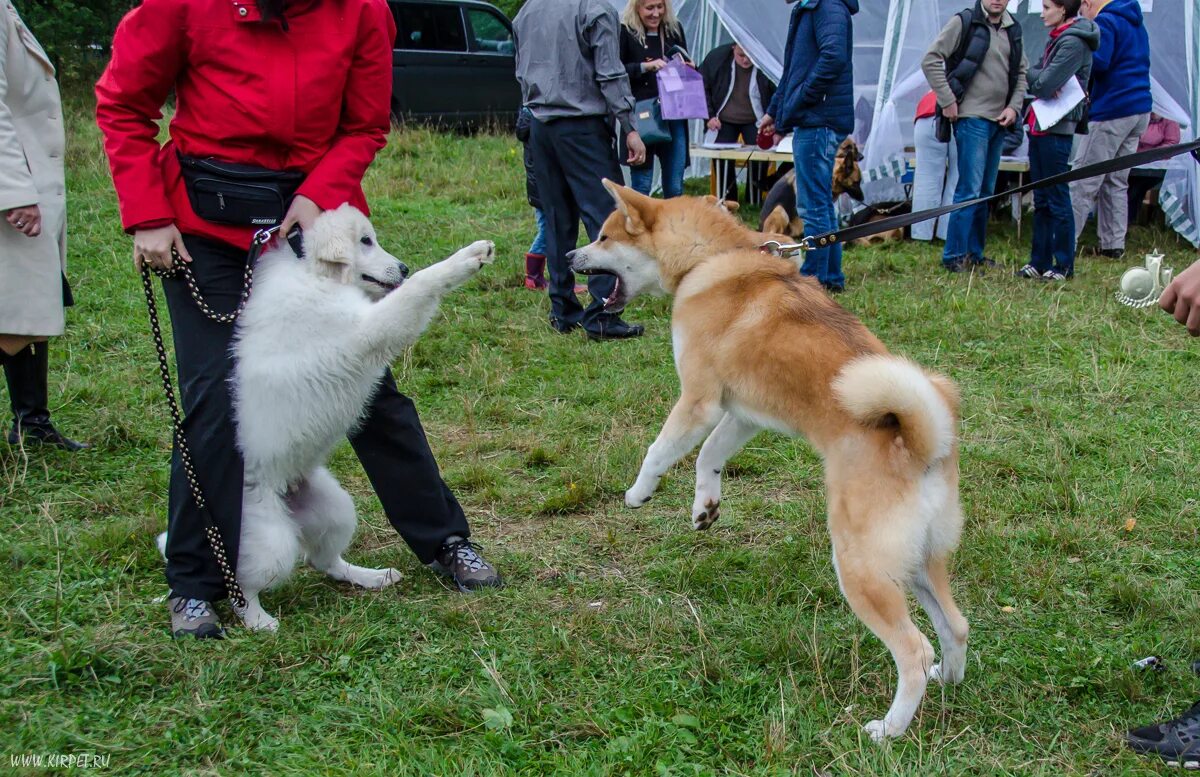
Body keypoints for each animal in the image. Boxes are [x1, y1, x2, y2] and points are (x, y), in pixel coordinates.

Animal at [566, 184, 969, 743]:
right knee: (956, 626)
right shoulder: (742, 414)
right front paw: (705, 507)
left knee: (913, 649)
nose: (568, 257)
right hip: (919, 563)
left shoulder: (699, 401)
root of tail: (921, 444)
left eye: (604, 236)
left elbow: (659, 450)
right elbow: (708, 458)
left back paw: (887, 729)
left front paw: (638, 493)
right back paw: (946, 681)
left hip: (862, 569)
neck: (710, 259)